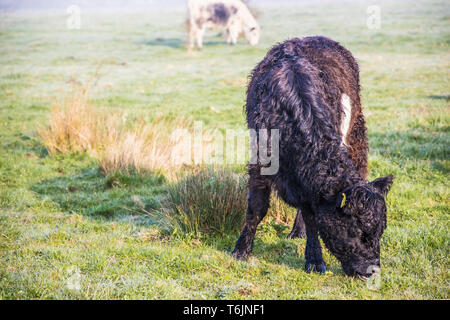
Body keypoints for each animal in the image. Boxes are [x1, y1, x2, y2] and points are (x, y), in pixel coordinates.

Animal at [232, 36, 394, 278]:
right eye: (359, 231)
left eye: (380, 231)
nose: (373, 270)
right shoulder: (260, 162)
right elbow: (256, 208)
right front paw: (241, 249)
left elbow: (311, 217)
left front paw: (314, 259)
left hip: (356, 133)